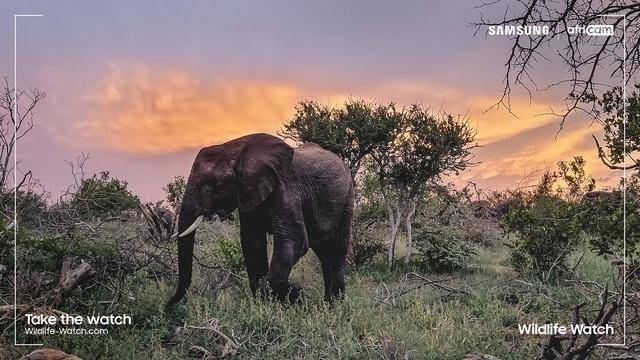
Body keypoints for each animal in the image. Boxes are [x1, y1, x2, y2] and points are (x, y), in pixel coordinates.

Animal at [166, 134, 356, 308]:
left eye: (212, 183)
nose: (167, 306)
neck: (237, 149)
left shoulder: (286, 188)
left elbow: (295, 241)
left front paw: (296, 295)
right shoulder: (248, 192)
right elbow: (252, 243)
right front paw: (265, 305)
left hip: (347, 197)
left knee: (338, 247)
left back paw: (336, 306)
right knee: (324, 252)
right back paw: (328, 304)